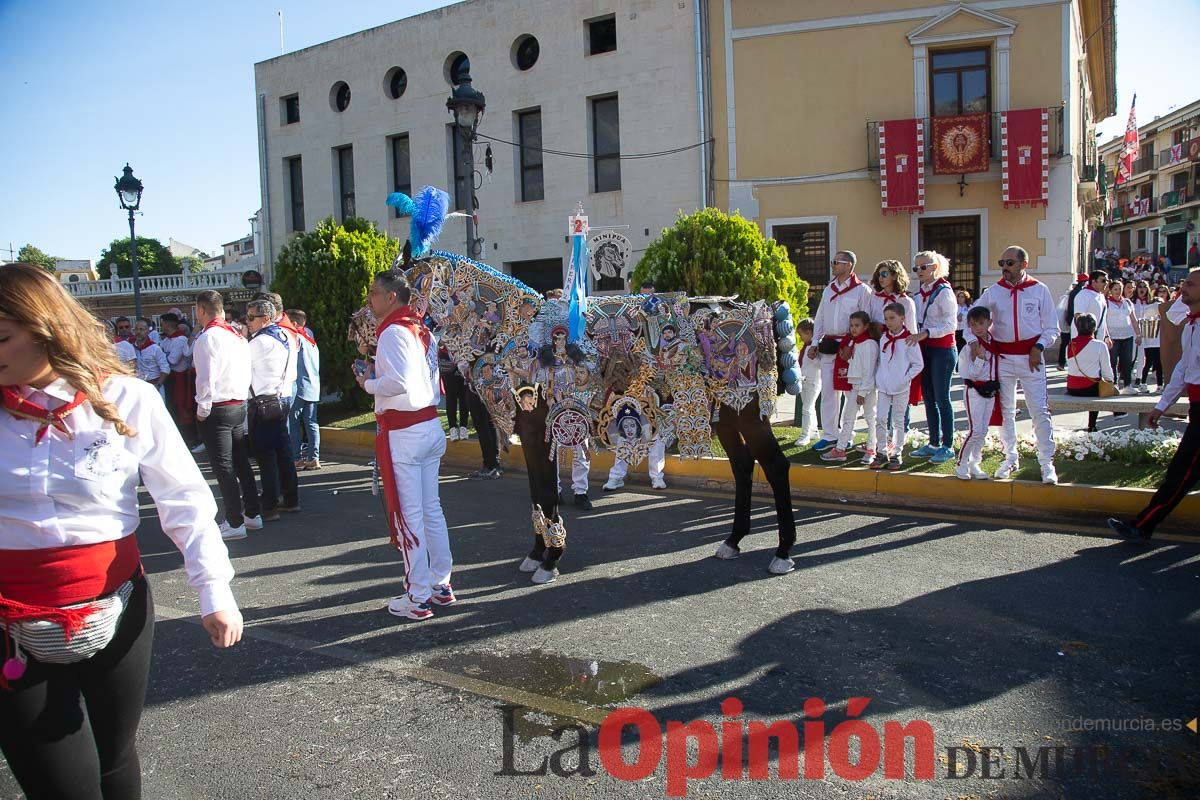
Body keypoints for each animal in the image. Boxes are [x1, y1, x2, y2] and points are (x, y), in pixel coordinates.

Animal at [360, 189, 801, 587]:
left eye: (386, 286)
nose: (357, 329)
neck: (513, 332)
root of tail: (756, 309)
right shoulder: (532, 431)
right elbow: (538, 491)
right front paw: (538, 552)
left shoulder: (537, 429)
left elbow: (545, 490)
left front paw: (550, 559)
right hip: (725, 411)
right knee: (743, 466)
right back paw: (733, 540)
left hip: (748, 411)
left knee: (775, 466)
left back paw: (782, 552)